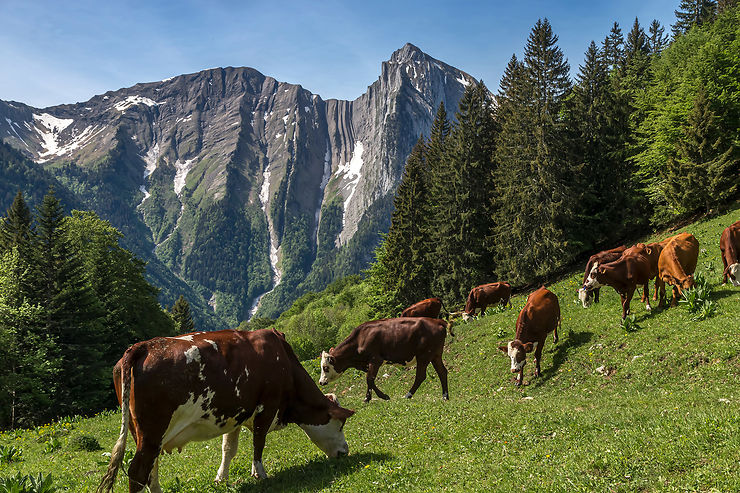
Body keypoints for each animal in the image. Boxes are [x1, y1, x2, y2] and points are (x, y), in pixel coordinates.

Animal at [97, 326, 356, 492]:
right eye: (340, 424)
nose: (345, 451)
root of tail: (142, 346)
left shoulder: (237, 413)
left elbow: (228, 449)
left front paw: (221, 478)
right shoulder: (267, 405)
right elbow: (259, 442)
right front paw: (259, 474)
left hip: (142, 433)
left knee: (150, 468)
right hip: (153, 430)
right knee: (138, 471)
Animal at [316, 318, 446, 402]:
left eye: (325, 367)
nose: (321, 382)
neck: (359, 339)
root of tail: (436, 321)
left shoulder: (375, 360)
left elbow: (369, 379)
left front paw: (383, 396)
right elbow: (369, 380)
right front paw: (367, 398)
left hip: (423, 356)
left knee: (420, 376)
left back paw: (407, 395)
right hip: (435, 355)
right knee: (442, 372)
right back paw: (445, 396)